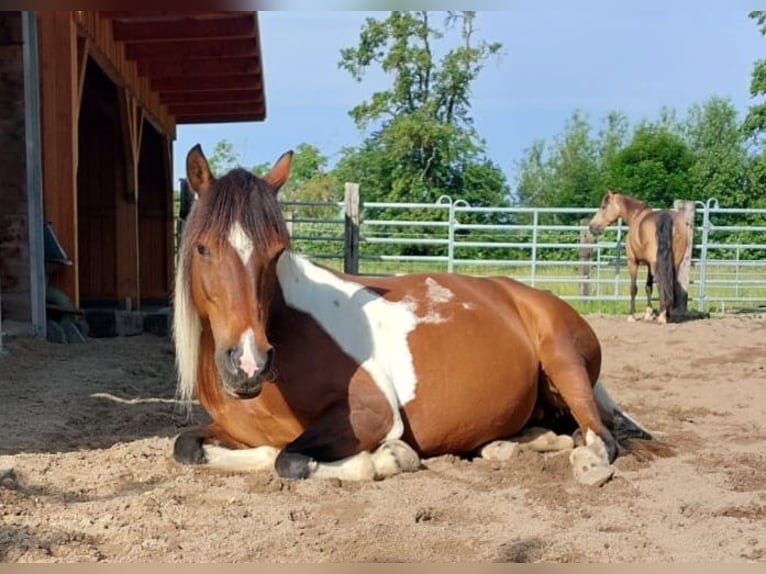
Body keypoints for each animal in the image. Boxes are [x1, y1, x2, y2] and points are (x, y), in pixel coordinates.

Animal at [172, 145, 656, 485]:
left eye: (275, 254)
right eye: (203, 249)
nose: (249, 363)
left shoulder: (374, 414)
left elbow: (287, 457)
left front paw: (389, 457)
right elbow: (188, 447)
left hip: (565, 363)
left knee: (599, 437)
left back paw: (586, 462)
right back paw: (506, 447)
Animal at [588, 190, 689, 324]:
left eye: (603, 207)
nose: (591, 227)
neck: (636, 216)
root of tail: (666, 217)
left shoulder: (633, 262)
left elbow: (633, 288)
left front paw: (632, 316)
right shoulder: (648, 265)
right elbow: (648, 287)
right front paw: (648, 314)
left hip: (656, 265)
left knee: (661, 283)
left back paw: (662, 316)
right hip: (674, 264)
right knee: (670, 283)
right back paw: (667, 314)